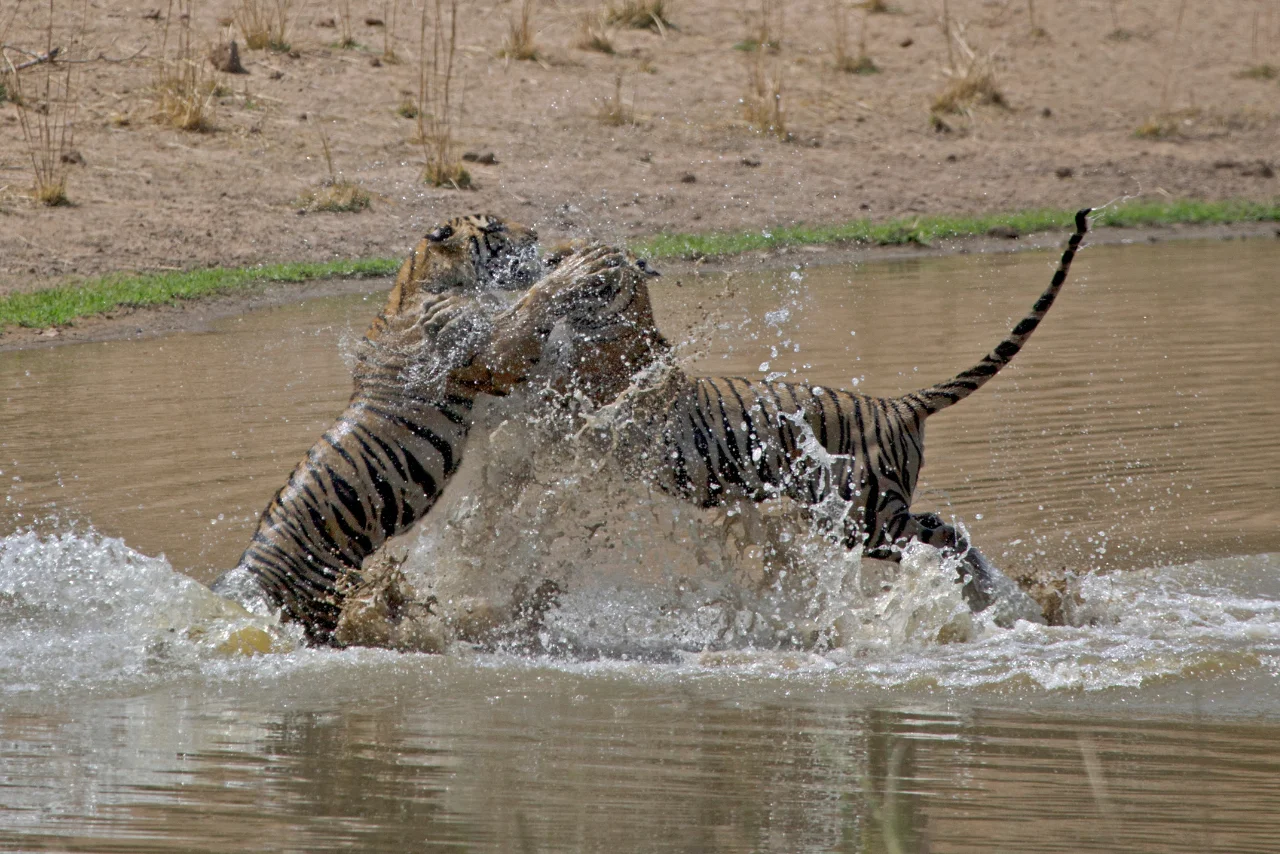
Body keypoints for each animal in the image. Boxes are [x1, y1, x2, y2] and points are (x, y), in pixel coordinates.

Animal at [210, 213, 544, 644]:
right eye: (496, 227)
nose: (535, 234)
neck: (424, 276)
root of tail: (250, 568)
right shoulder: (485, 363)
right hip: (322, 605)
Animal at [486, 209, 1093, 614]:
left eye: (570, 254)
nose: (543, 259)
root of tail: (899, 404)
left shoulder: (585, 410)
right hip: (862, 513)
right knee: (947, 531)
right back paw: (996, 598)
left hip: (868, 515)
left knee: (944, 536)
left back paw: (1001, 599)